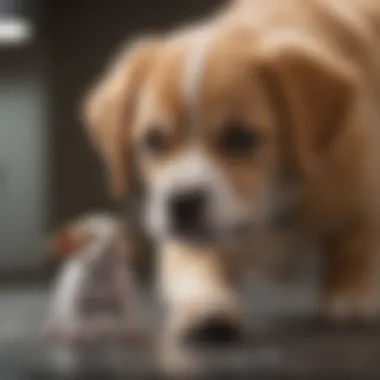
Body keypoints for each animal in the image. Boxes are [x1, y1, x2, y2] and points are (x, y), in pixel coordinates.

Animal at [45, 212, 141, 346]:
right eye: (88, 237)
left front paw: (132, 336)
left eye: (119, 233)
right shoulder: (77, 296)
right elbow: (75, 314)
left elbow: (130, 313)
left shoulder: (125, 293)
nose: (110, 239)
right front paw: (72, 337)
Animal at [83, 0, 380, 348]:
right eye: (153, 140)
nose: (182, 202)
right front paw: (206, 307)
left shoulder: (364, 194)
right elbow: (196, 270)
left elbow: (353, 248)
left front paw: (349, 295)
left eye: (241, 138)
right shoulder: (188, 236)